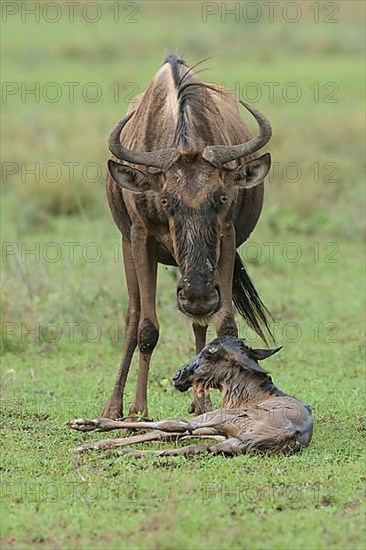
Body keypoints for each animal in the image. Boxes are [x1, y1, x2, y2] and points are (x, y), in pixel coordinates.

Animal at [70, 338, 314, 460]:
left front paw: (86, 426)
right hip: (235, 441)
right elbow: (173, 436)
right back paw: (118, 451)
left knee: (176, 424)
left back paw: (93, 435)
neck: (255, 391)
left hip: (223, 420)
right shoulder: (222, 431)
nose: (177, 376)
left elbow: (170, 429)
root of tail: (292, 433)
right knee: (196, 447)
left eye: (209, 352)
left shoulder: (218, 420)